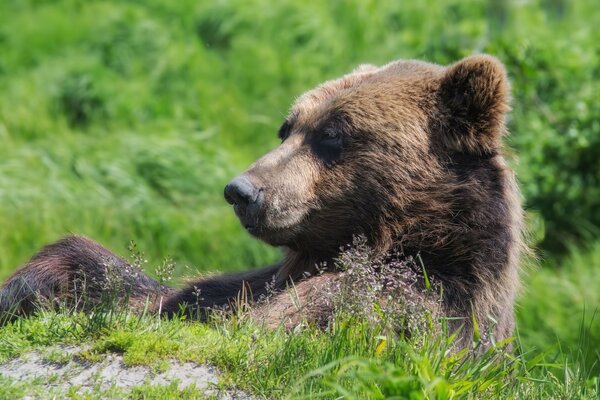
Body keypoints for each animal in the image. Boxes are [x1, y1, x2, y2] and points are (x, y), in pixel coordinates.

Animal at [0, 54, 520, 348]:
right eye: (287, 127)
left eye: (331, 134)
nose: (241, 191)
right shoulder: (248, 284)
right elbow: (159, 297)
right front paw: (29, 286)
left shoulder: (409, 296)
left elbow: (274, 325)